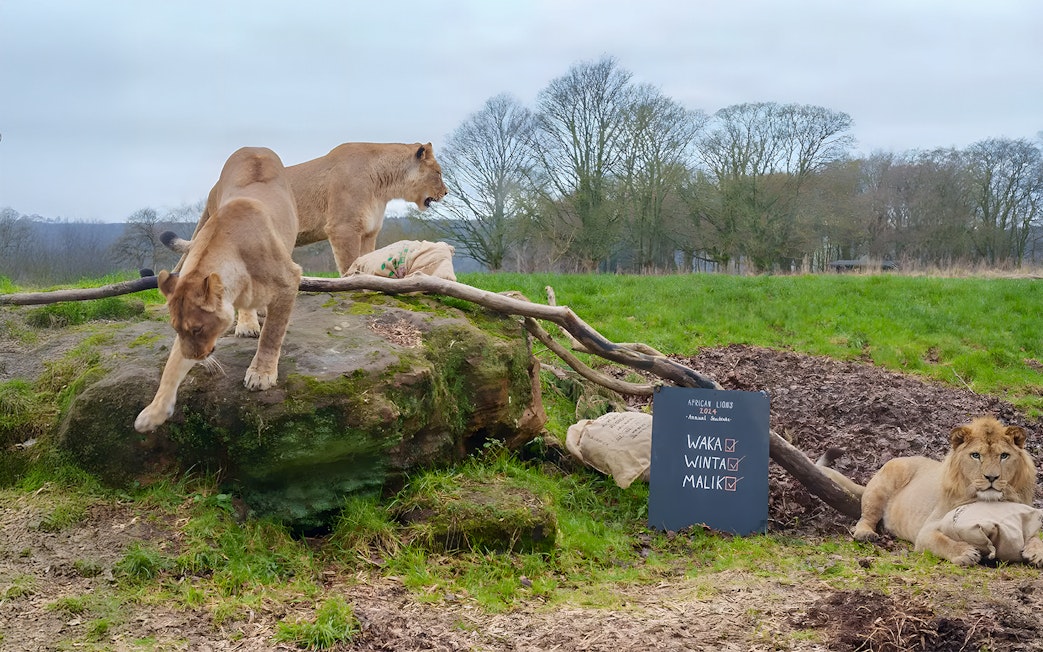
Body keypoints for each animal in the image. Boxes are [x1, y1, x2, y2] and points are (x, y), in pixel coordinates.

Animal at [134, 147, 302, 433]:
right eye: (176, 329)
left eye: (198, 329)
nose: (193, 356)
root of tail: (254, 147)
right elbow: (172, 367)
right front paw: (153, 413)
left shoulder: (289, 280)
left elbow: (272, 334)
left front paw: (261, 373)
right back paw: (247, 323)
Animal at [847, 416, 1041, 566]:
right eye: (975, 455)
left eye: (1004, 456)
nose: (991, 477)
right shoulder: (925, 533)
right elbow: (942, 541)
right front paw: (965, 553)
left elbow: (1036, 537)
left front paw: (1036, 552)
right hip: (881, 486)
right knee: (866, 518)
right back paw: (865, 534)